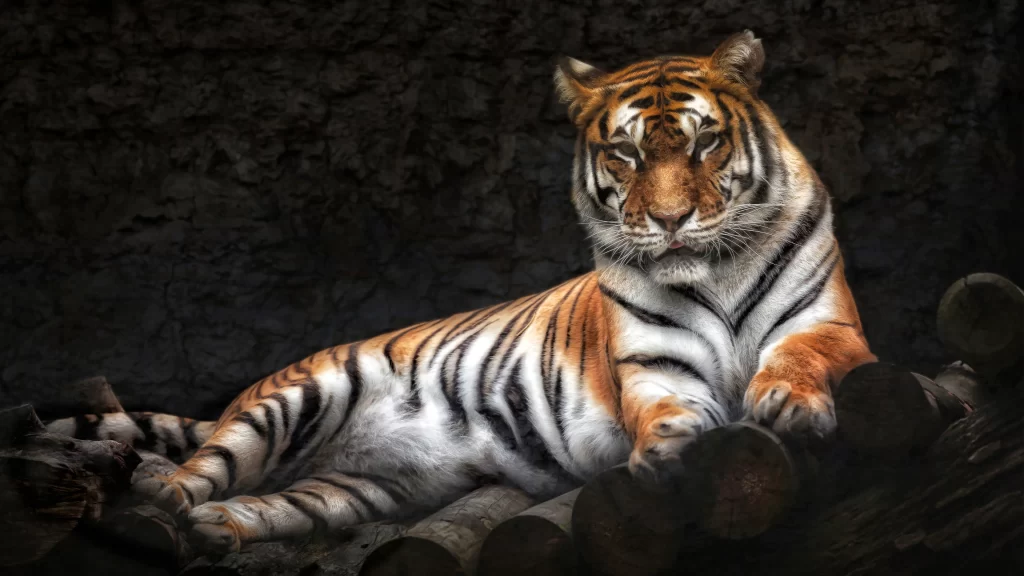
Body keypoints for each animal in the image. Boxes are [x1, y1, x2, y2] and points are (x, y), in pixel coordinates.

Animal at [45, 30, 875, 554]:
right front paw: (671, 449)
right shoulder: (652, 366)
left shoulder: (830, 327)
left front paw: (785, 401)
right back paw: (158, 517)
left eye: (705, 142)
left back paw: (219, 530)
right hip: (290, 403)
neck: (716, 270)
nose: (671, 221)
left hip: (357, 489)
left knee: (269, 500)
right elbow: (668, 408)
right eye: (625, 153)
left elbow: (799, 357)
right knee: (193, 474)